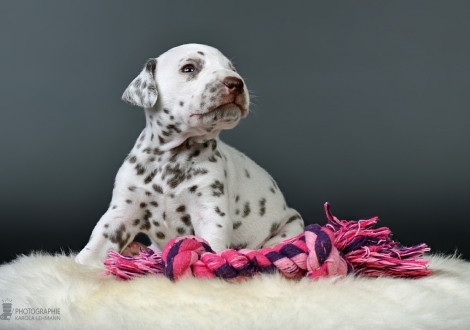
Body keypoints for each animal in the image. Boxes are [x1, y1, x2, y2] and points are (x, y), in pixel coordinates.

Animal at [75, 42, 302, 266]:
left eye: (232, 69)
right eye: (189, 68)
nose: (236, 83)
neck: (171, 157)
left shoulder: (210, 213)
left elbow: (211, 246)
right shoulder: (122, 211)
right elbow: (98, 242)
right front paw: (81, 264)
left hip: (291, 224)